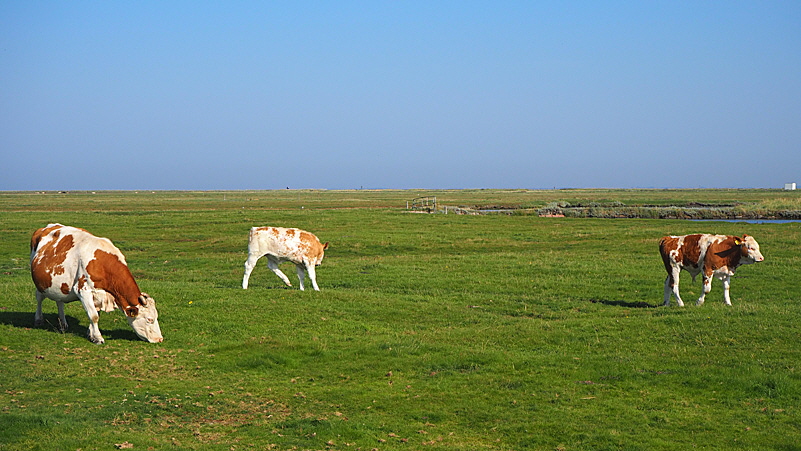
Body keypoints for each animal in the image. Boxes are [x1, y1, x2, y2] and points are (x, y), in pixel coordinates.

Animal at [29, 224, 164, 344]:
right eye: (149, 319)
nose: (160, 339)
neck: (103, 265)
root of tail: (46, 227)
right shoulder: (83, 290)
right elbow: (94, 316)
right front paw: (98, 338)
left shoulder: (100, 296)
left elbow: (95, 313)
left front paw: (91, 334)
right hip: (39, 283)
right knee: (39, 298)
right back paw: (38, 320)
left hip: (59, 285)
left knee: (59, 301)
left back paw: (63, 324)